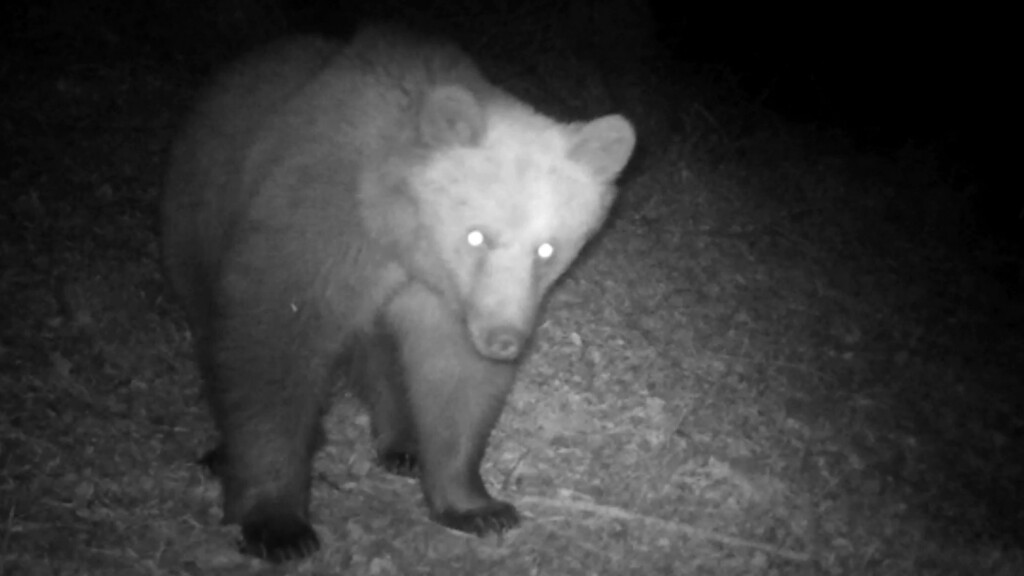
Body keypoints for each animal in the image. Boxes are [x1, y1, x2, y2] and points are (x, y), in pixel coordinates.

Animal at [160, 25, 634, 561]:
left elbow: (456, 379)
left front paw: (476, 505)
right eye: (477, 235)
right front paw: (278, 525)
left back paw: (403, 445)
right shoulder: (319, 231)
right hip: (197, 216)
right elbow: (271, 348)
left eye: (548, 248)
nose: (504, 339)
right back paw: (226, 450)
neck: (402, 233)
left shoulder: (450, 299)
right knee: (210, 326)